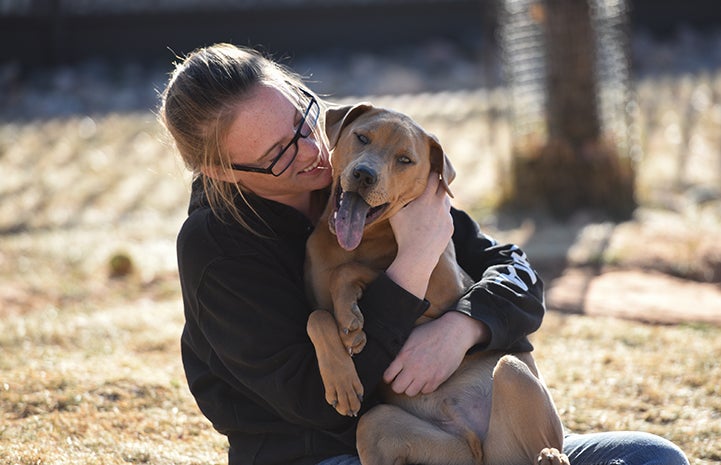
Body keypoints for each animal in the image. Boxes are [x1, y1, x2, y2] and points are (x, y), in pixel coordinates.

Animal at [304, 104, 568, 464]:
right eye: (362, 137)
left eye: (405, 160)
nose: (364, 175)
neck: (361, 241)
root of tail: (477, 447)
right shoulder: (318, 300)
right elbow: (316, 317)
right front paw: (342, 376)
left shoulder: (441, 286)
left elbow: (351, 271)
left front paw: (349, 317)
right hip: (385, 426)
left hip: (511, 371)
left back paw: (551, 455)